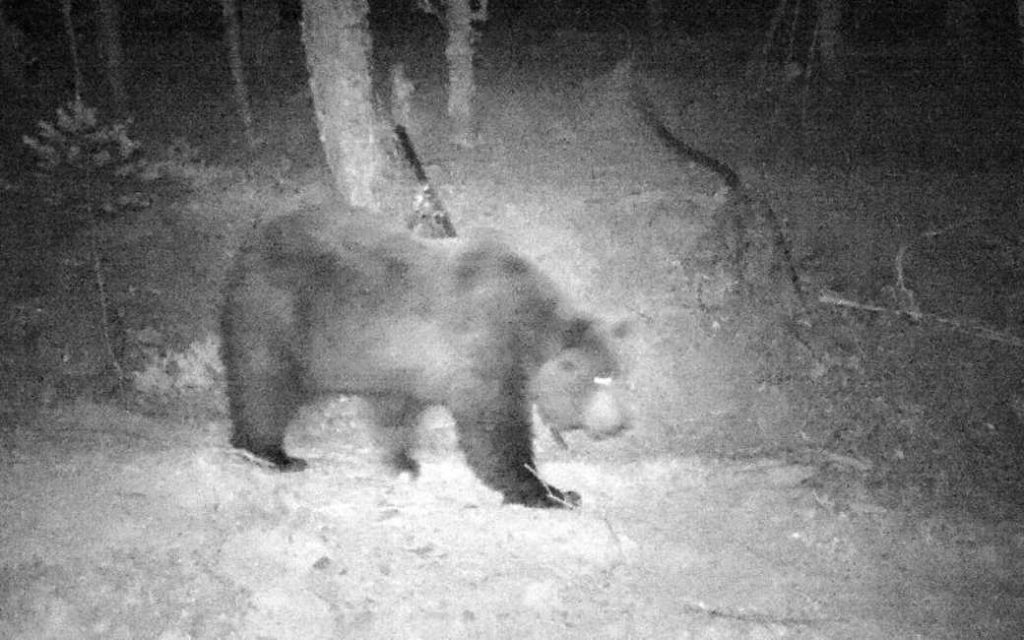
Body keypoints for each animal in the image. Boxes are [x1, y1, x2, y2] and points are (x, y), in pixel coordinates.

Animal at [220, 209, 626, 509]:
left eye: (616, 375)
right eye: (596, 380)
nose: (618, 424)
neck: (528, 329)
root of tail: (250, 245)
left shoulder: (405, 365)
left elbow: (396, 412)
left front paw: (403, 463)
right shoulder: (485, 350)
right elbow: (493, 429)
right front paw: (549, 491)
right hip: (276, 316)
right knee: (264, 387)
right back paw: (272, 454)